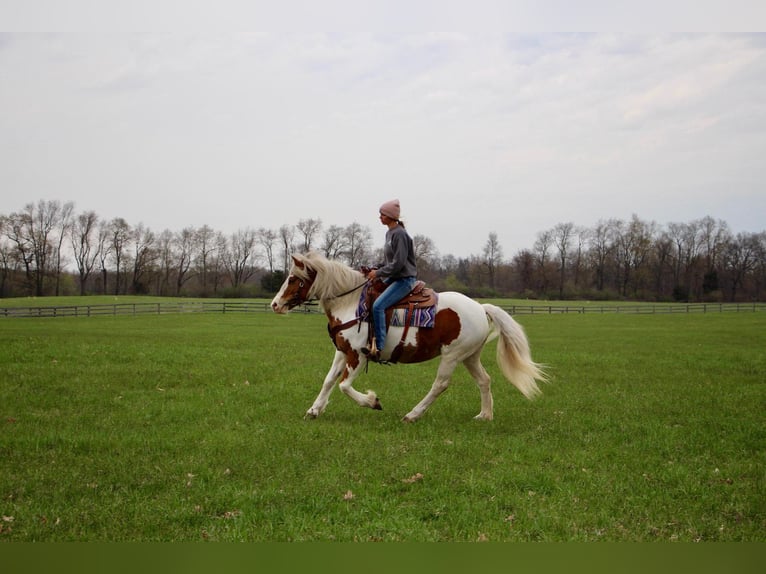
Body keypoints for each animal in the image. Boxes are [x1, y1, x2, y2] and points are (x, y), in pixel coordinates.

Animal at [270, 252, 544, 424]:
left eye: (293, 278)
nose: (274, 304)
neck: (350, 303)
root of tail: (480, 307)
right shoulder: (342, 351)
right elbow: (328, 381)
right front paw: (314, 410)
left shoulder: (358, 355)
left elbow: (344, 386)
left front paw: (372, 401)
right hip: (470, 356)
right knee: (484, 380)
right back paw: (484, 415)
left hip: (452, 356)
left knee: (440, 384)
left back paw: (413, 415)